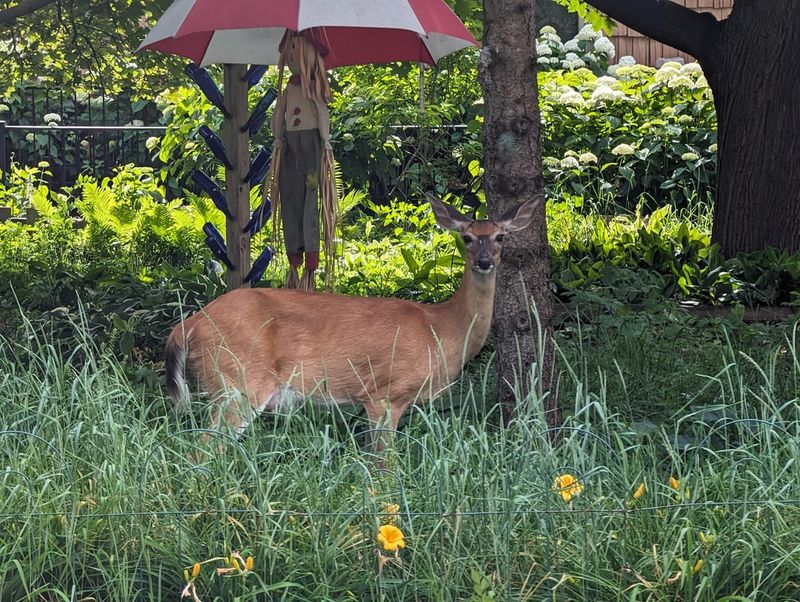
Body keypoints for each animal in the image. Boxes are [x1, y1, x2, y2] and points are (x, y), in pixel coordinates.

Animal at [164, 195, 538, 447]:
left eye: (501, 236)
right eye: (467, 237)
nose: (485, 261)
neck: (442, 329)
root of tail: (187, 326)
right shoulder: (385, 393)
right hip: (240, 381)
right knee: (204, 449)